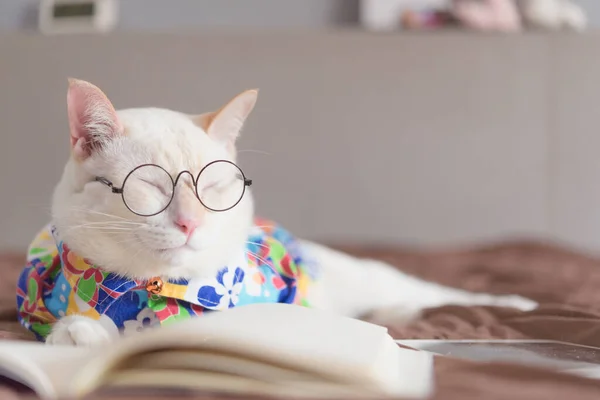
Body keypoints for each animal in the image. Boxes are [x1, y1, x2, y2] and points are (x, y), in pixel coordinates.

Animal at [18, 79, 536, 346]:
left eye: (213, 186)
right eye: (151, 185)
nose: (190, 222)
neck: (153, 289)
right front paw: (84, 331)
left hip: (376, 280)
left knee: (434, 292)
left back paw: (516, 305)